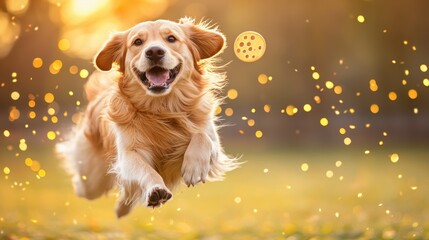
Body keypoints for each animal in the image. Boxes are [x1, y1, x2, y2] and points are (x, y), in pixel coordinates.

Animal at [55, 17, 239, 218]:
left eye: (171, 38)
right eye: (137, 42)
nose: (155, 52)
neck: (162, 109)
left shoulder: (211, 138)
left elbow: (203, 137)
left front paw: (194, 168)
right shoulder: (129, 154)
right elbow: (146, 171)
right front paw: (156, 190)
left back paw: (122, 209)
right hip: (92, 177)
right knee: (87, 186)